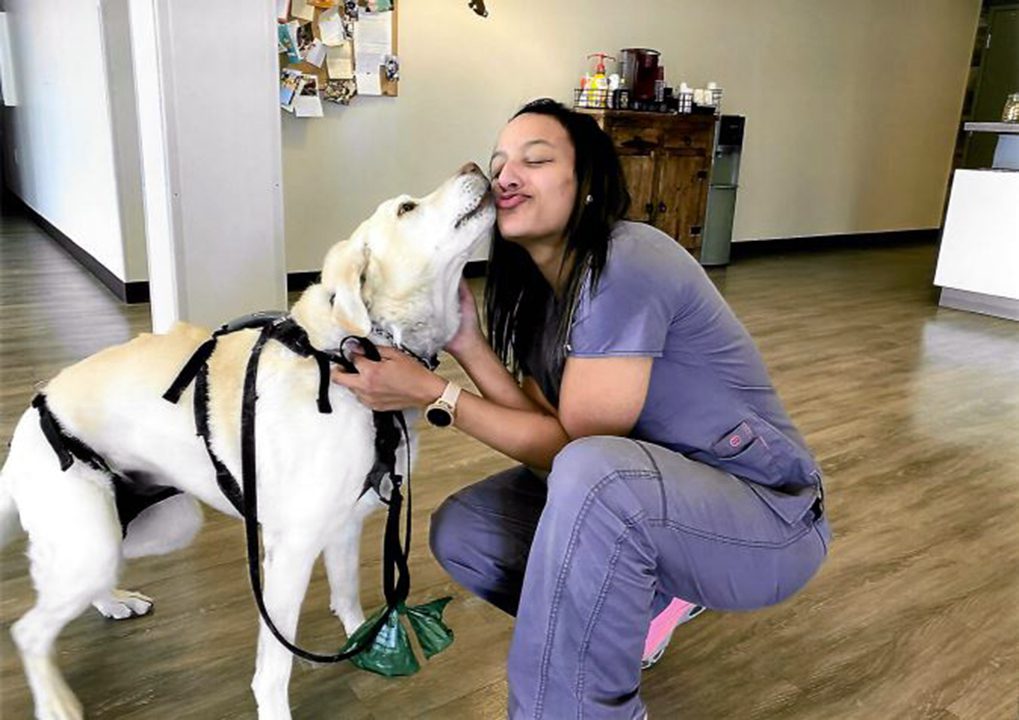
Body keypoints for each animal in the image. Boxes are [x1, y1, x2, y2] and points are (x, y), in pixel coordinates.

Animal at [0, 162, 493, 720]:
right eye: (406, 208)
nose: (475, 166)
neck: (343, 355)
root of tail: (29, 417)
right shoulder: (290, 550)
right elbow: (275, 665)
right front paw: (276, 708)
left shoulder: (345, 526)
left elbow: (347, 598)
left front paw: (361, 646)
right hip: (95, 541)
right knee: (29, 629)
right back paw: (56, 700)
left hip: (155, 527)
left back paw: (113, 601)